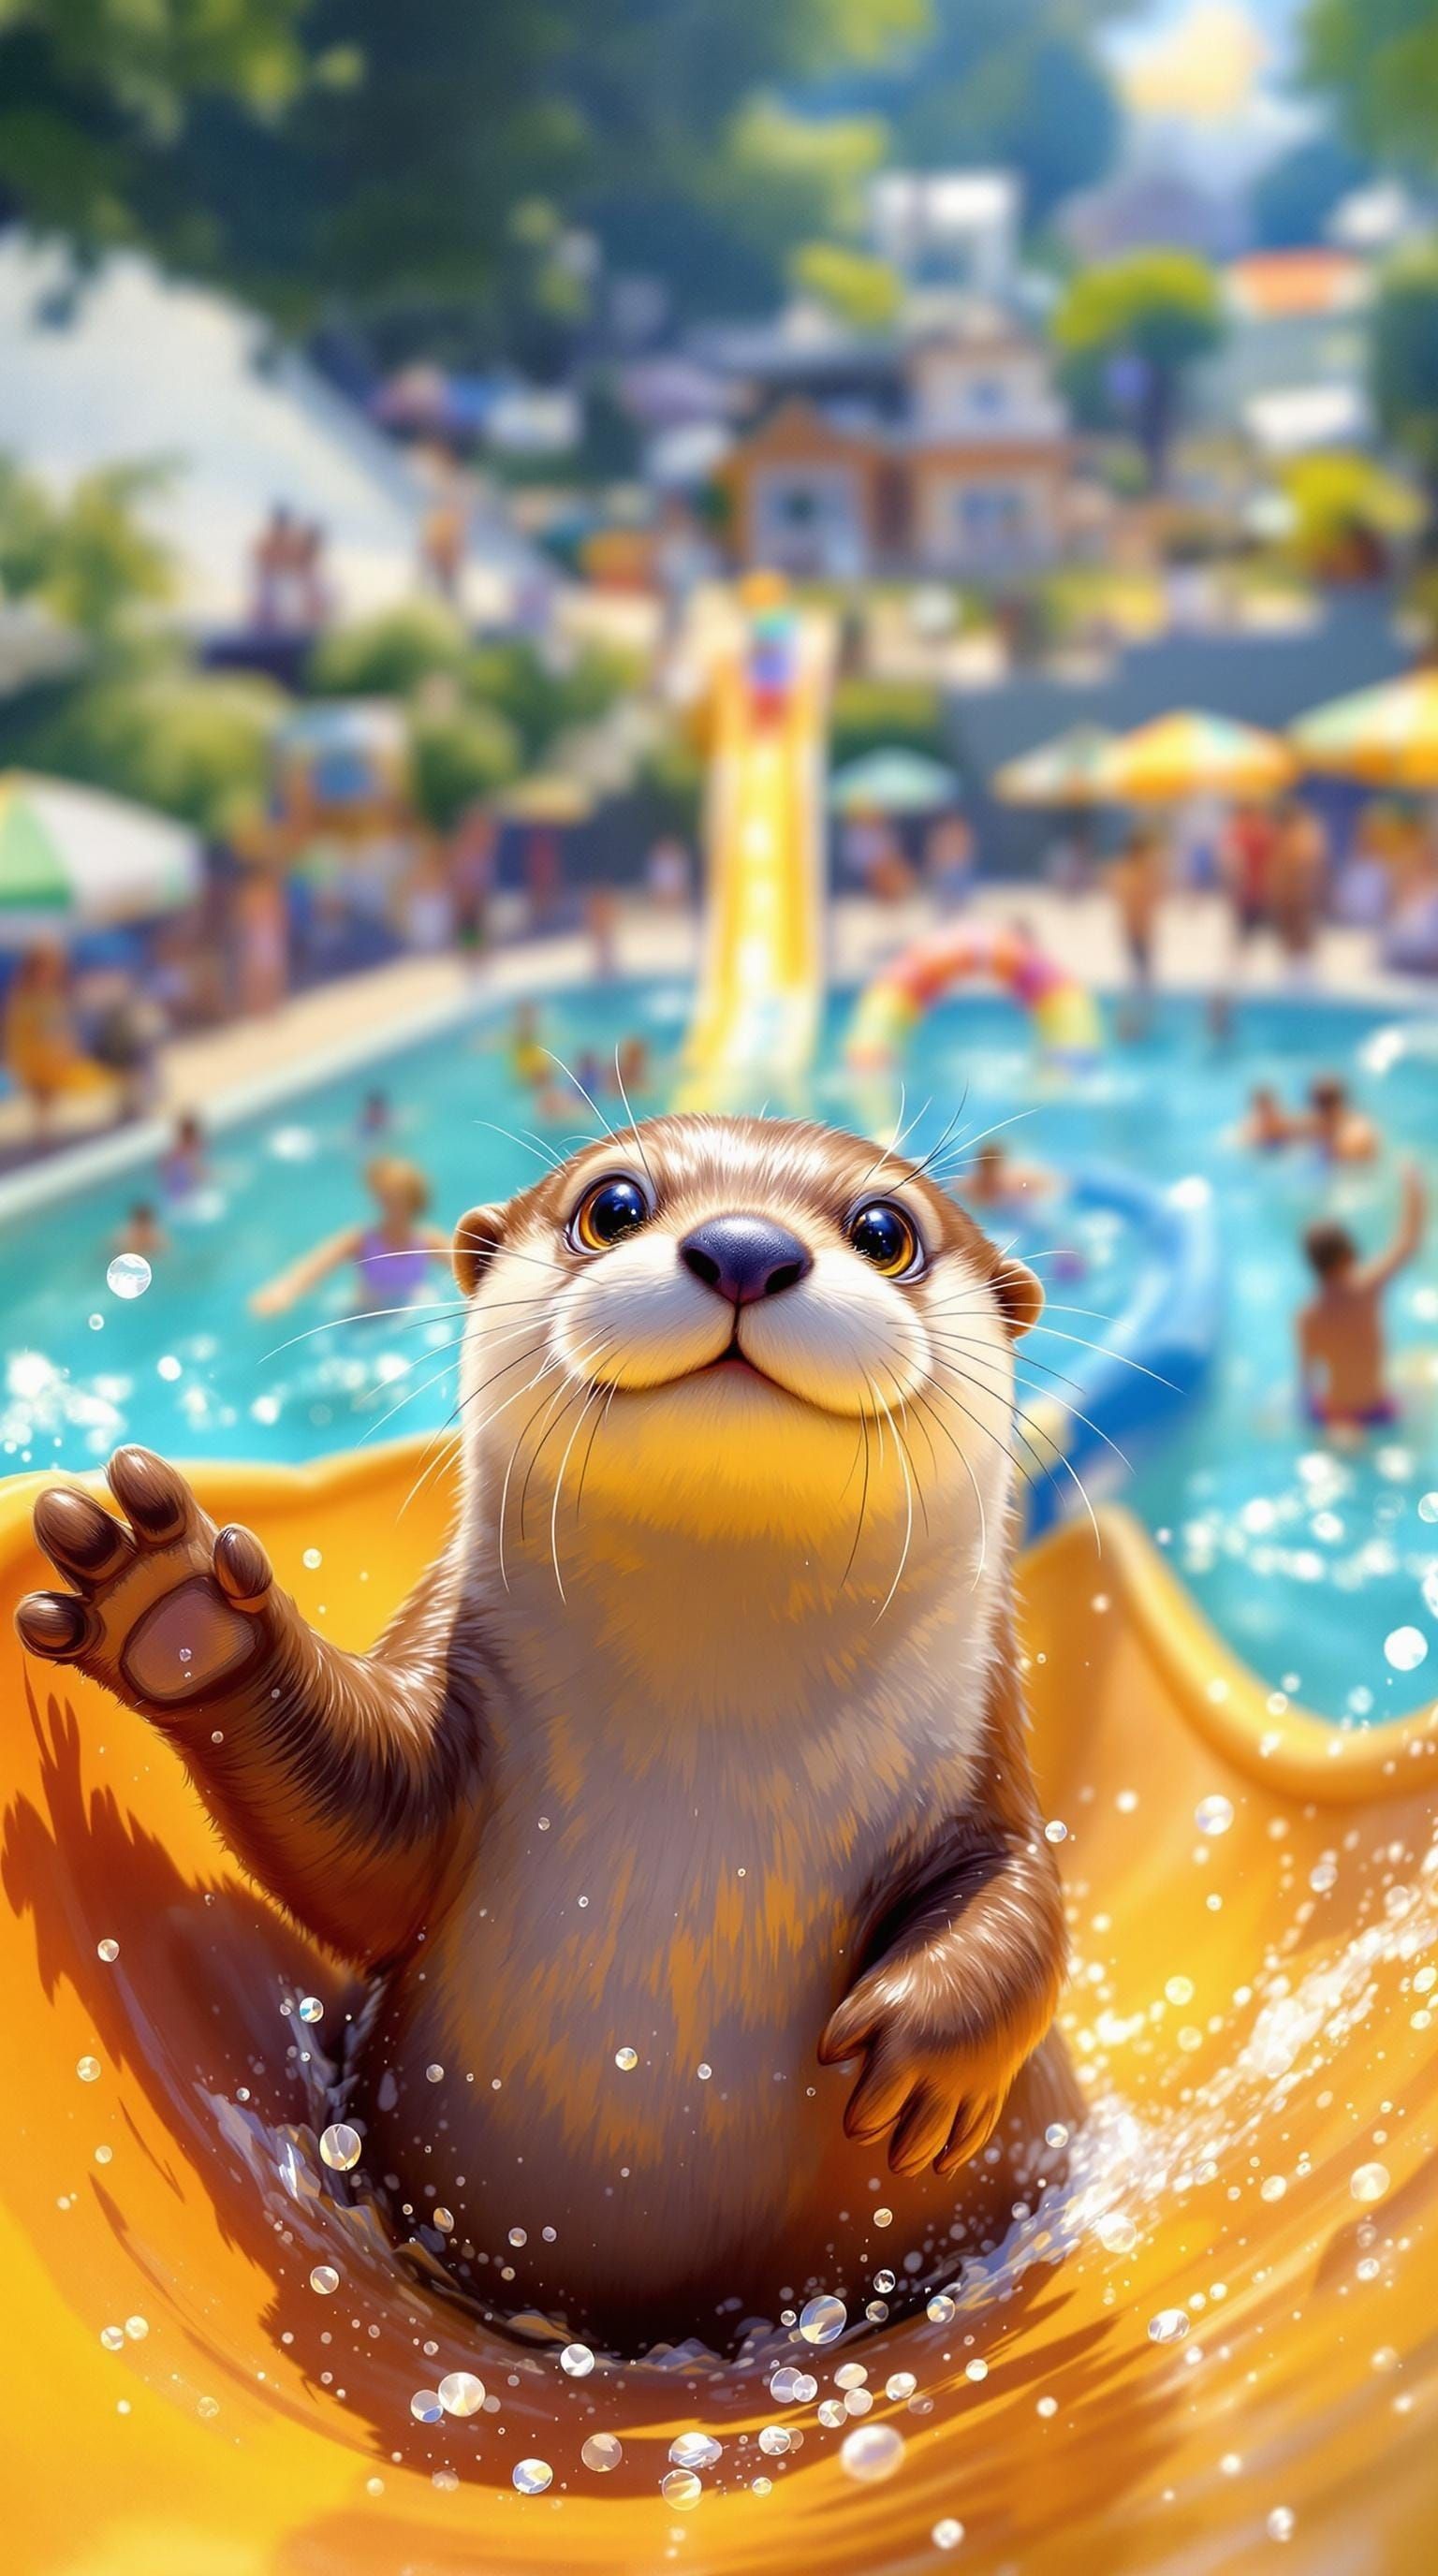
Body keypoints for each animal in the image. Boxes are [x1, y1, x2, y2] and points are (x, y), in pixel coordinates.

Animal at [17, 1113, 1077, 2350]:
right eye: (612, 1206)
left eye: (885, 1230)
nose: (746, 1247)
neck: (704, 1756)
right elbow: (363, 1851)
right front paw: (179, 1611)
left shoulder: (985, 1764)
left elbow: (1020, 1895)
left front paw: (919, 2051)